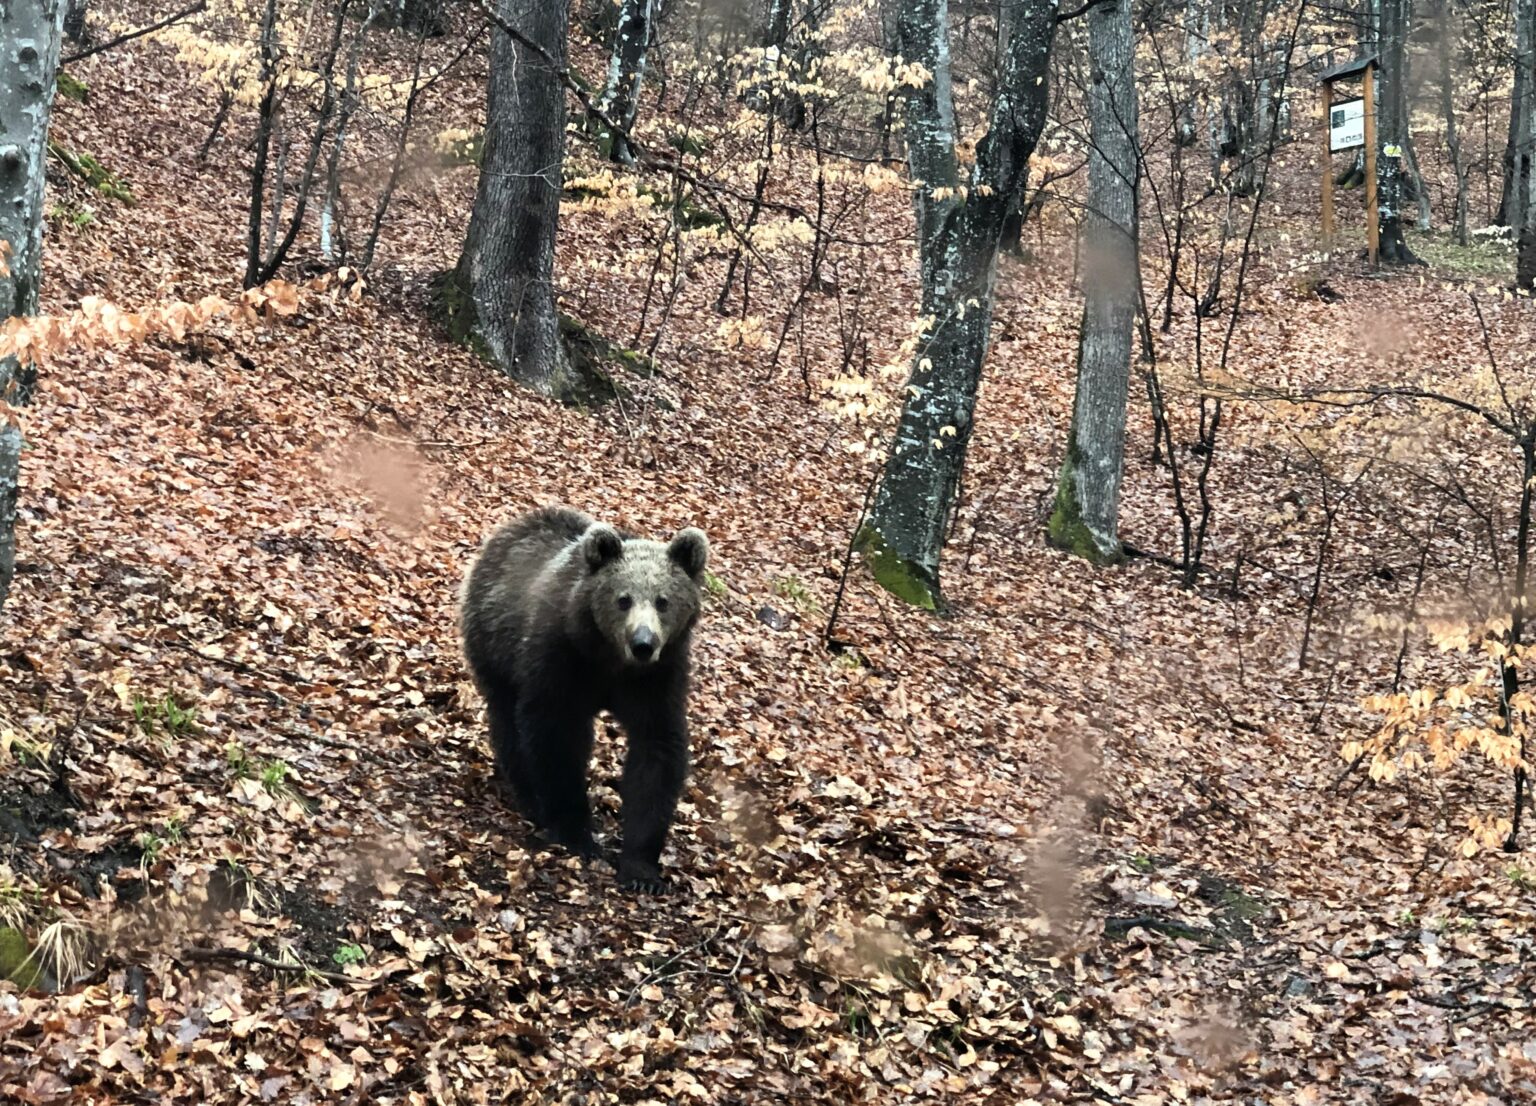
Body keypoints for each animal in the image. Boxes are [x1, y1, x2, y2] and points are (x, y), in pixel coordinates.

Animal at [457, 506, 709, 897]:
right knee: (507, 720)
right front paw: (575, 832)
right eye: (623, 599)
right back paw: (527, 795)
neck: (610, 660)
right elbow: (555, 736)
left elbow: (657, 753)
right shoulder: (561, 660)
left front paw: (641, 867)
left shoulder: (657, 680)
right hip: (493, 643)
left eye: (663, 601)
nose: (643, 643)